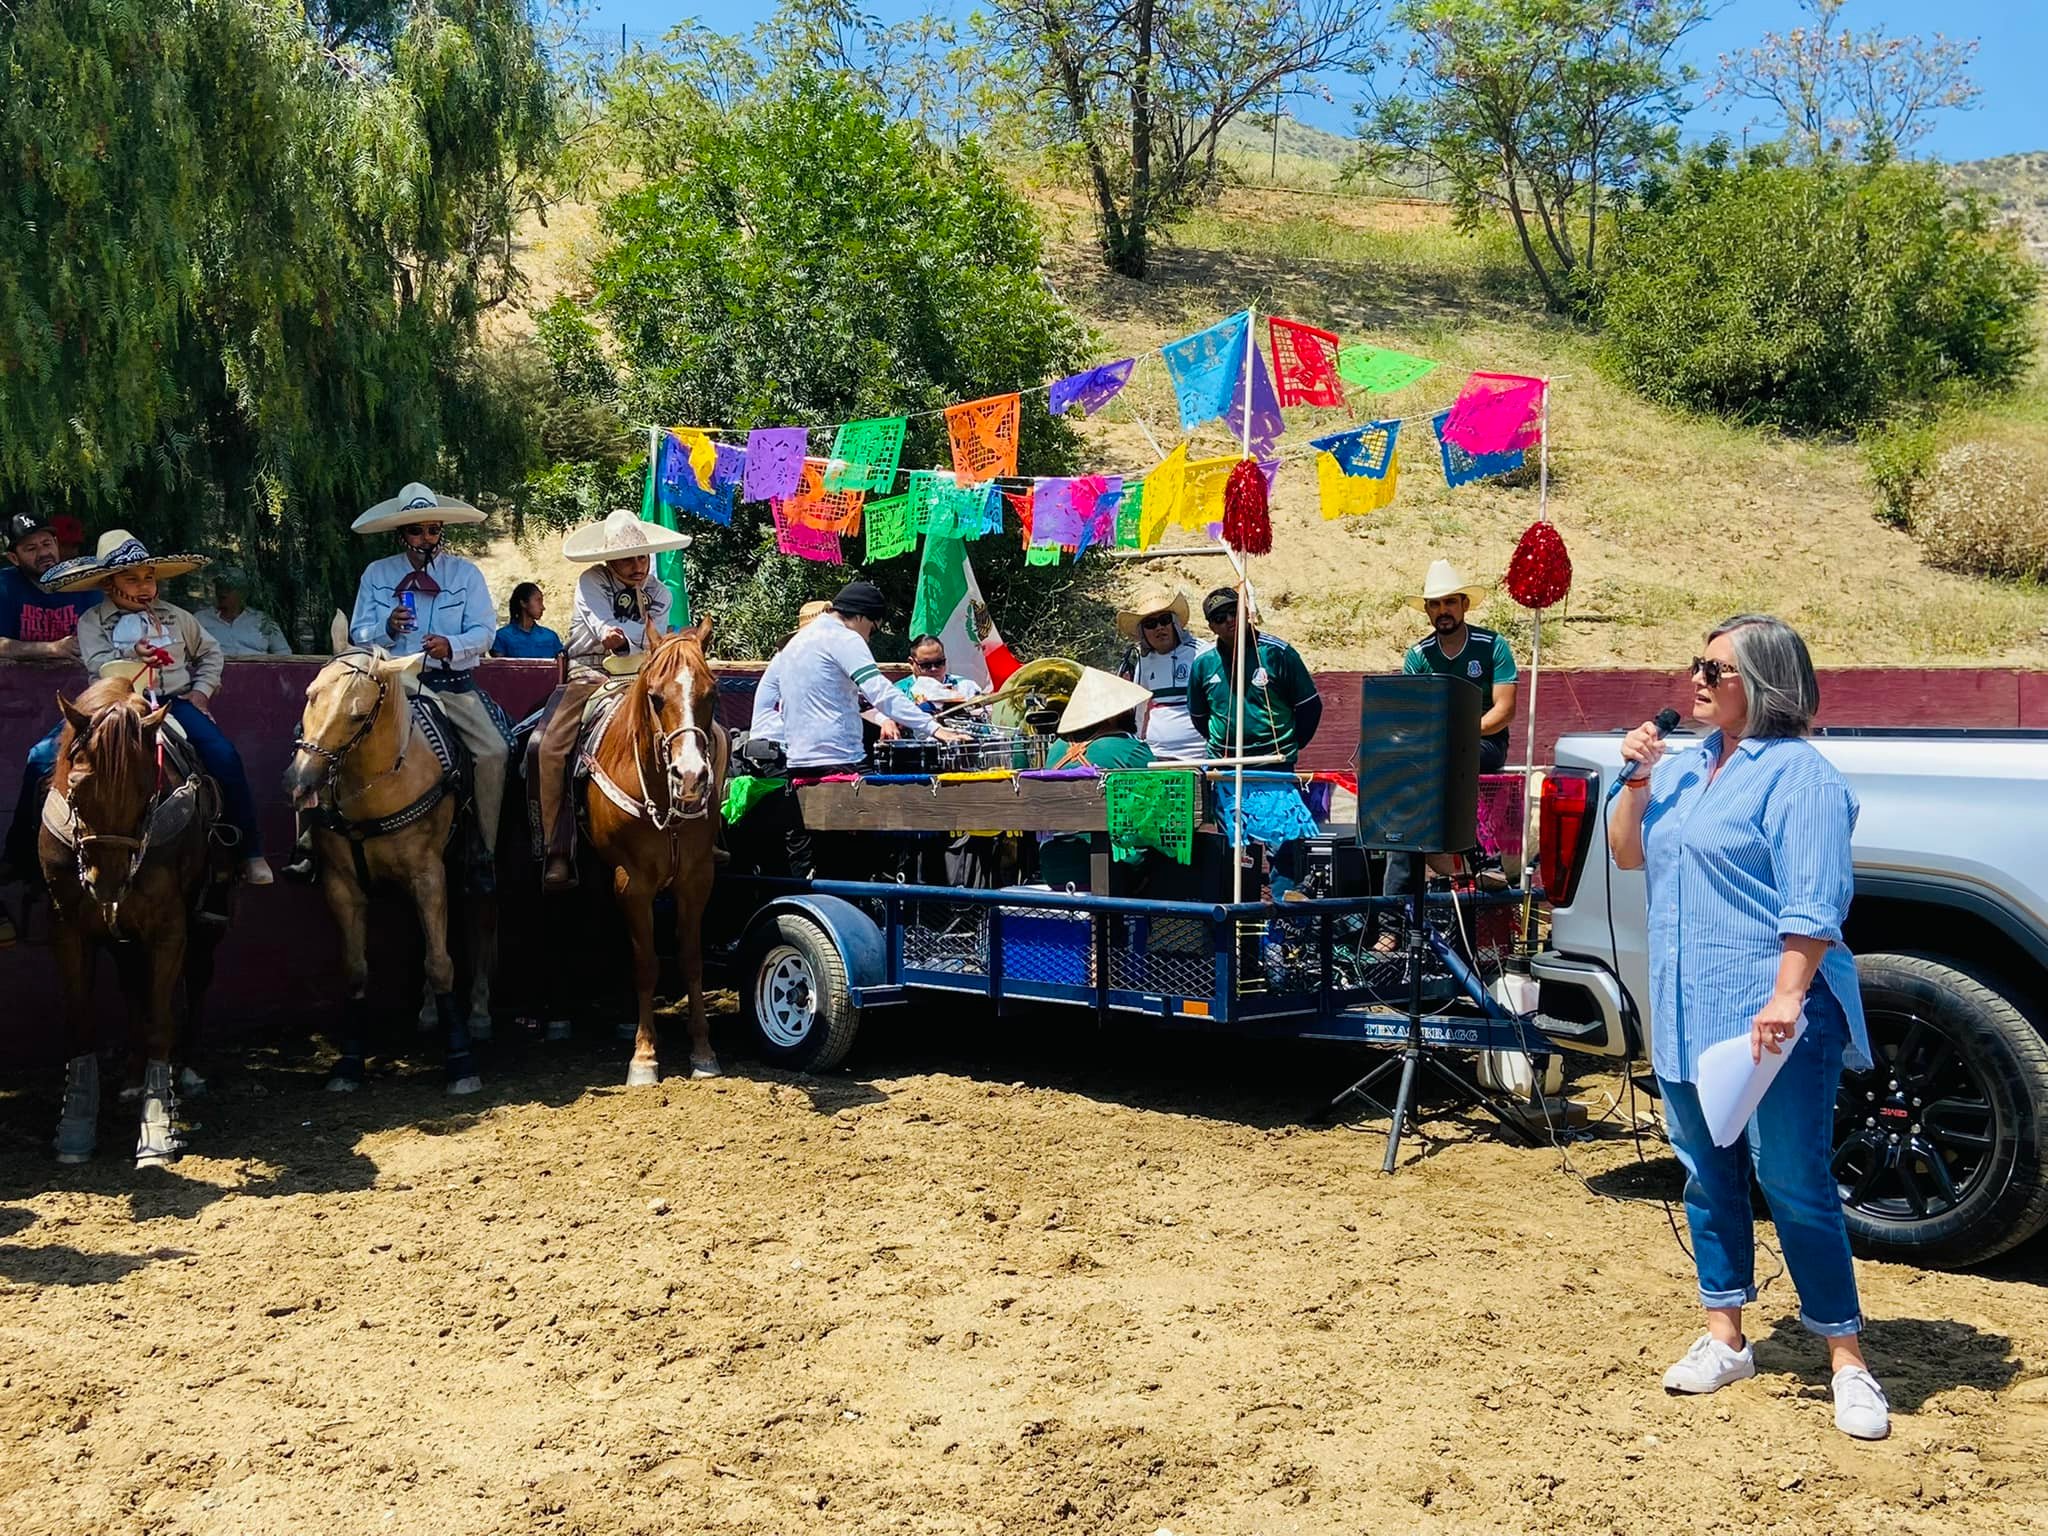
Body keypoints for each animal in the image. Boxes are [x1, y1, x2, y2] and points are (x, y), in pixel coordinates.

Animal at [43, 684, 225, 1163]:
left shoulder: (169, 927)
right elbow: (81, 1020)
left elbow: (161, 1018)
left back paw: (189, 1069)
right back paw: (129, 1077)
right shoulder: (68, 928)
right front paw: (75, 1128)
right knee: (132, 989)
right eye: (76, 785)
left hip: (205, 924)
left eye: (148, 787)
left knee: (198, 979)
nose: (106, 881)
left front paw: (158, 1127)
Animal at [284, 655, 495, 1097]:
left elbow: (440, 962)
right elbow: (356, 969)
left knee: (480, 920)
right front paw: (348, 1062)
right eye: (310, 696)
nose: (301, 782)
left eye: (357, 715)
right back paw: (429, 1012)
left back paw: (479, 1015)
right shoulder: (342, 886)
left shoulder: (428, 875)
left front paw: (461, 1060)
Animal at [581, 618, 724, 1089]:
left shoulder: (697, 879)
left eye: (712, 694)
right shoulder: (632, 883)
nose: (692, 776)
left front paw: (703, 1050)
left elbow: (691, 959)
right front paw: (644, 1056)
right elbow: (646, 963)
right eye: (656, 697)